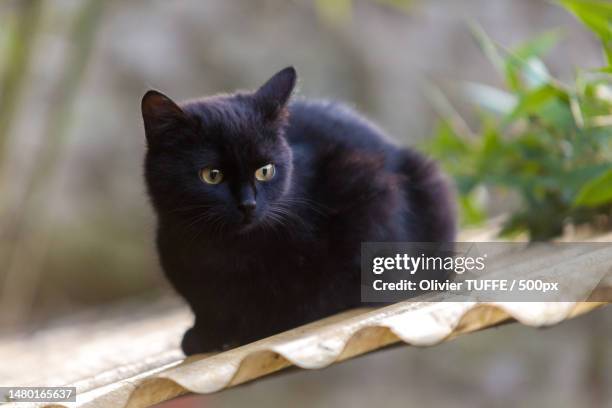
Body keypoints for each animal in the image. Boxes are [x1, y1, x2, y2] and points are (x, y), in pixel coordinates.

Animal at [140, 66, 454, 354]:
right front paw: (205, 335)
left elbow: (313, 296)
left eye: (265, 170)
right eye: (211, 175)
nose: (248, 204)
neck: (225, 250)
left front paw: (251, 326)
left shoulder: (369, 199)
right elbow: (208, 307)